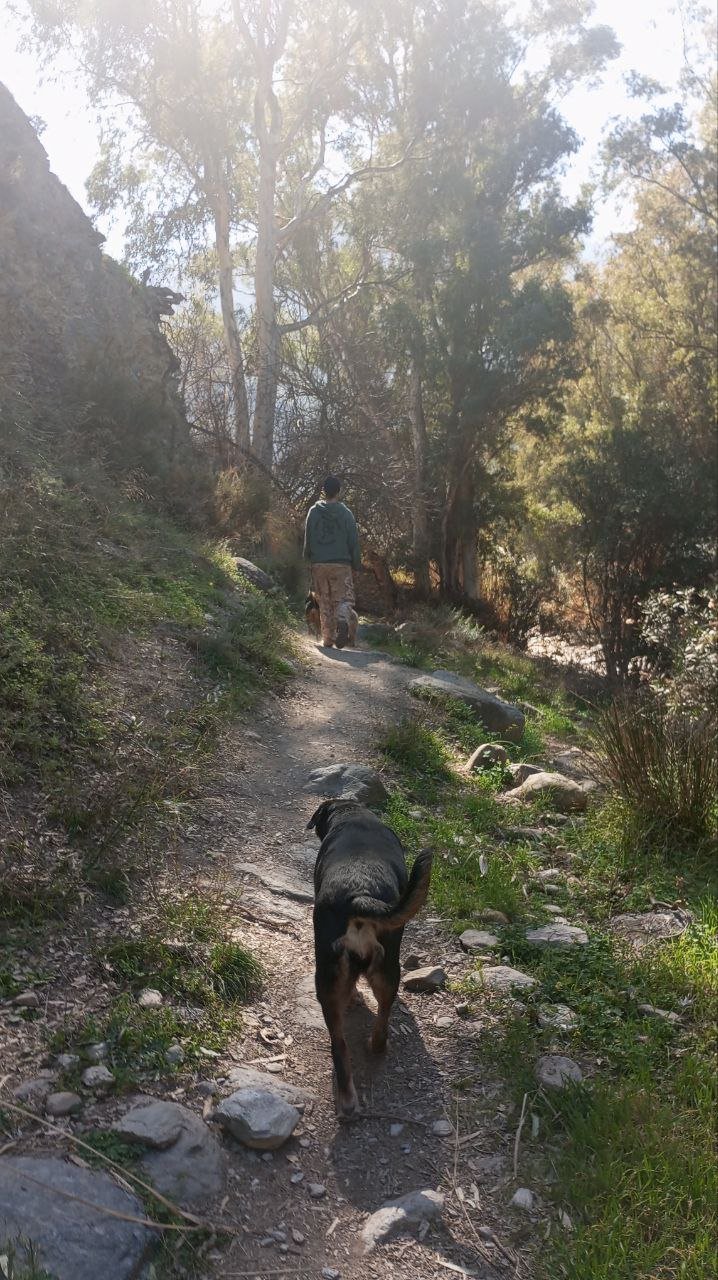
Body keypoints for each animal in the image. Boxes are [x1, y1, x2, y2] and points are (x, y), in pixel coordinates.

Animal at [307, 803, 430, 1116]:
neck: (352, 814)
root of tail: (359, 896)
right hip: (387, 971)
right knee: (381, 1021)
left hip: (326, 979)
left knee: (338, 1043)